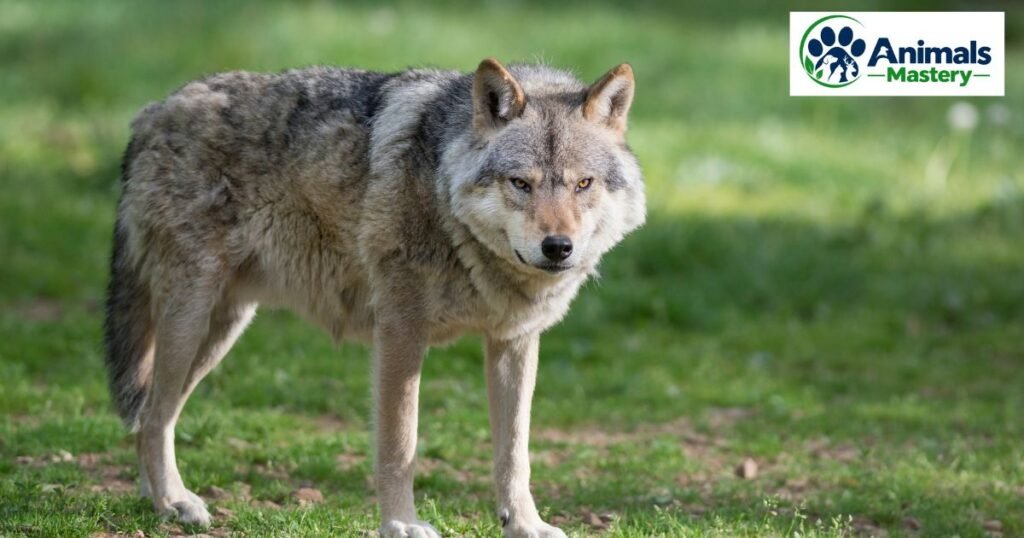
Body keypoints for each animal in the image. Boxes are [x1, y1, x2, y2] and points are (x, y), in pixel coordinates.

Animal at [104, 57, 645, 537]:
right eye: (521, 184)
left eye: (583, 184)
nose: (558, 248)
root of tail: (152, 111)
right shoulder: (401, 331)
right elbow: (400, 445)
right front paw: (401, 524)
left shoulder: (513, 341)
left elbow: (515, 452)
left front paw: (525, 525)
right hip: (191, 322)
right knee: (152, 415)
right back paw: (174, 502)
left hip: (221, 331)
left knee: (150, 415)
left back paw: (160, 503)